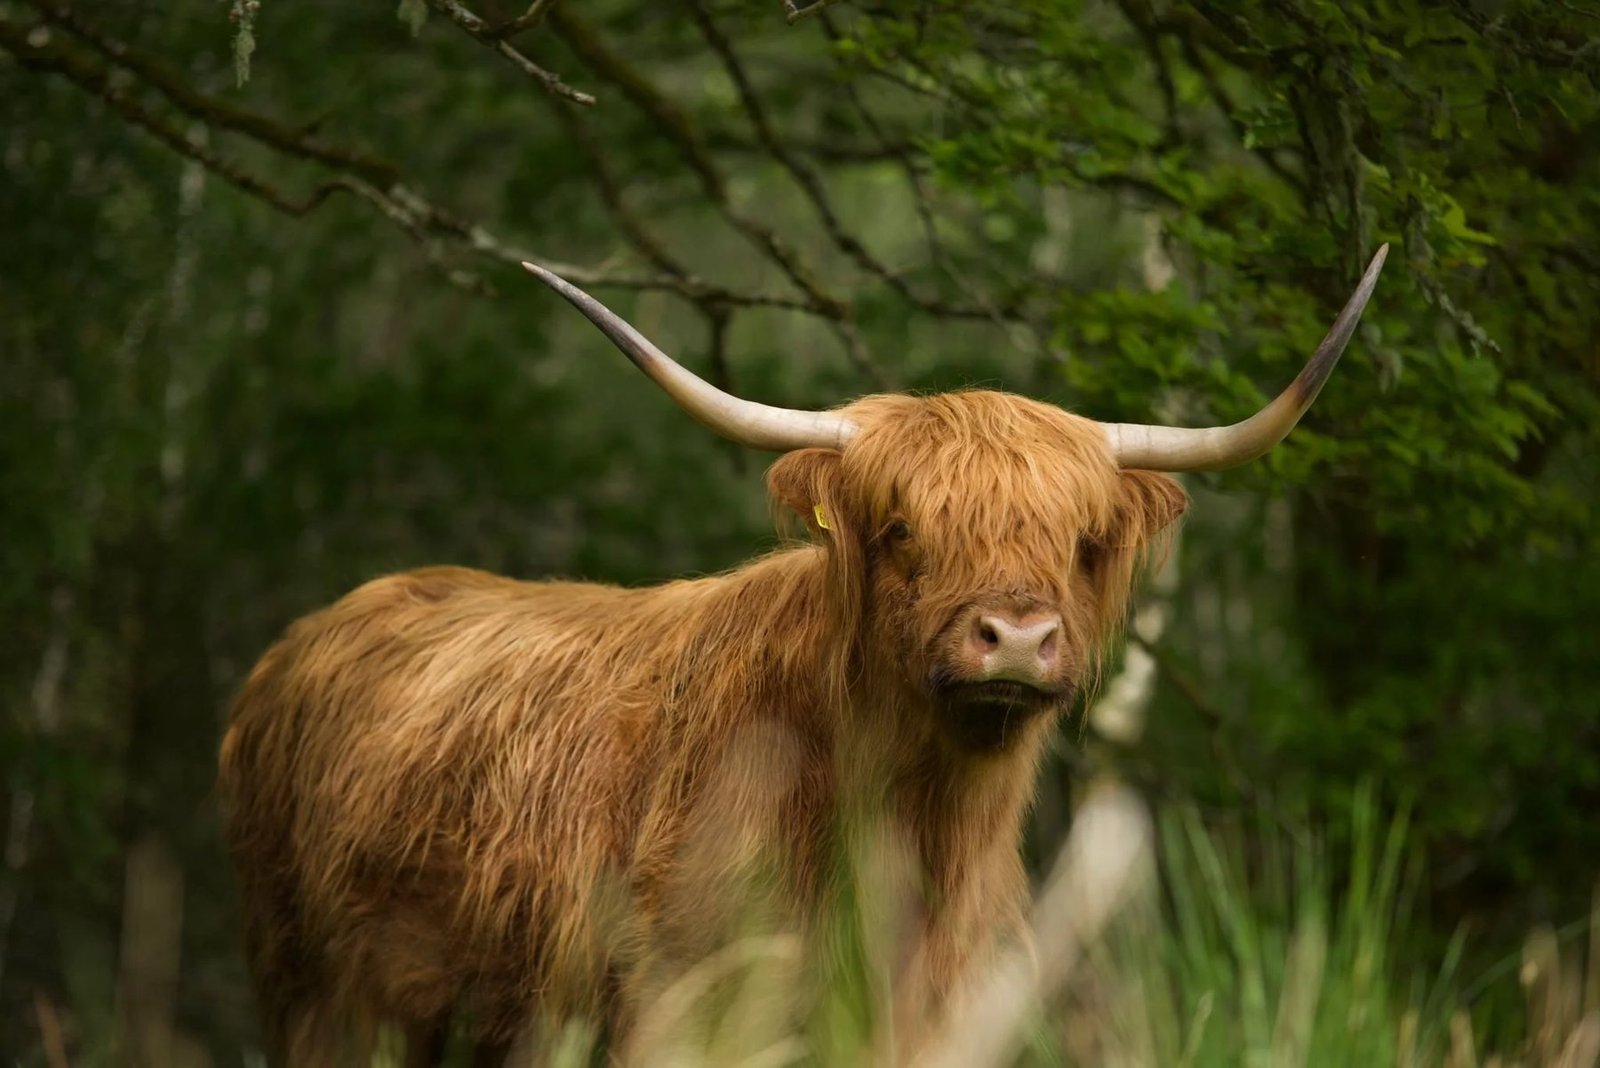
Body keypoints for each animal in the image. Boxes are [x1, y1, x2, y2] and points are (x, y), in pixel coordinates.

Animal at [218, 246, 1387, 1066]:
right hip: (313, 995)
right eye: (903, 527)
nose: (1015, 637)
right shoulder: (675, 1008)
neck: (907, 829)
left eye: (1081, 540)